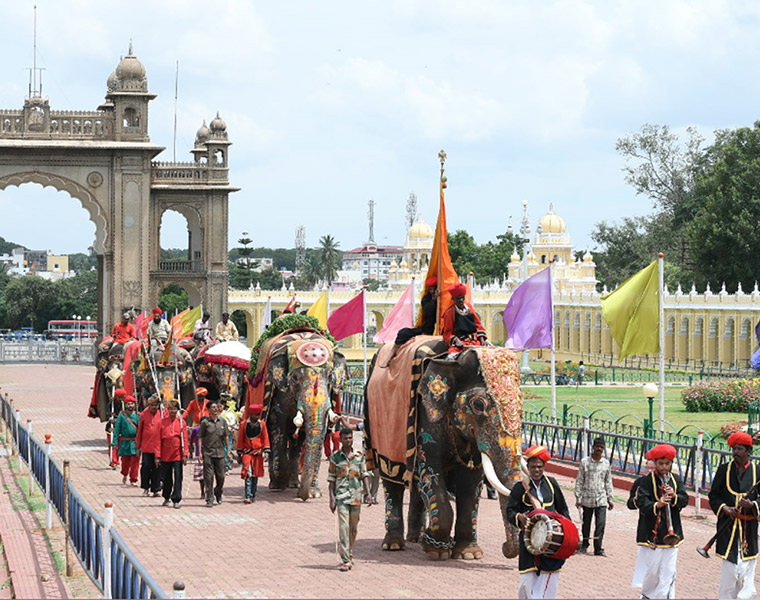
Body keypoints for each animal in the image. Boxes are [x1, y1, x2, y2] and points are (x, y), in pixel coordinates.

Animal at [246, 314, 348, 502]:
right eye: (294, 378)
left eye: (331, 376)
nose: (303, 497)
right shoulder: (278, 391)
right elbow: (277, 426)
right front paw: (279, 483)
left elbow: (319, 431)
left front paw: (314, 493)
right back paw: (278, 482)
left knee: (298, 444)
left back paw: (294, 483)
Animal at [366, 340, 524, 560]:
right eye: (478, 405)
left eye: (521, 403)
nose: (504, 548)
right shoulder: (426, 417)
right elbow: (430, 470)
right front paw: (436, 549)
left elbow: (471, 483)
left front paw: (469, 553)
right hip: (383, 439)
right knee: (392, 482)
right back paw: (394, 544)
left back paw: (416, 537)